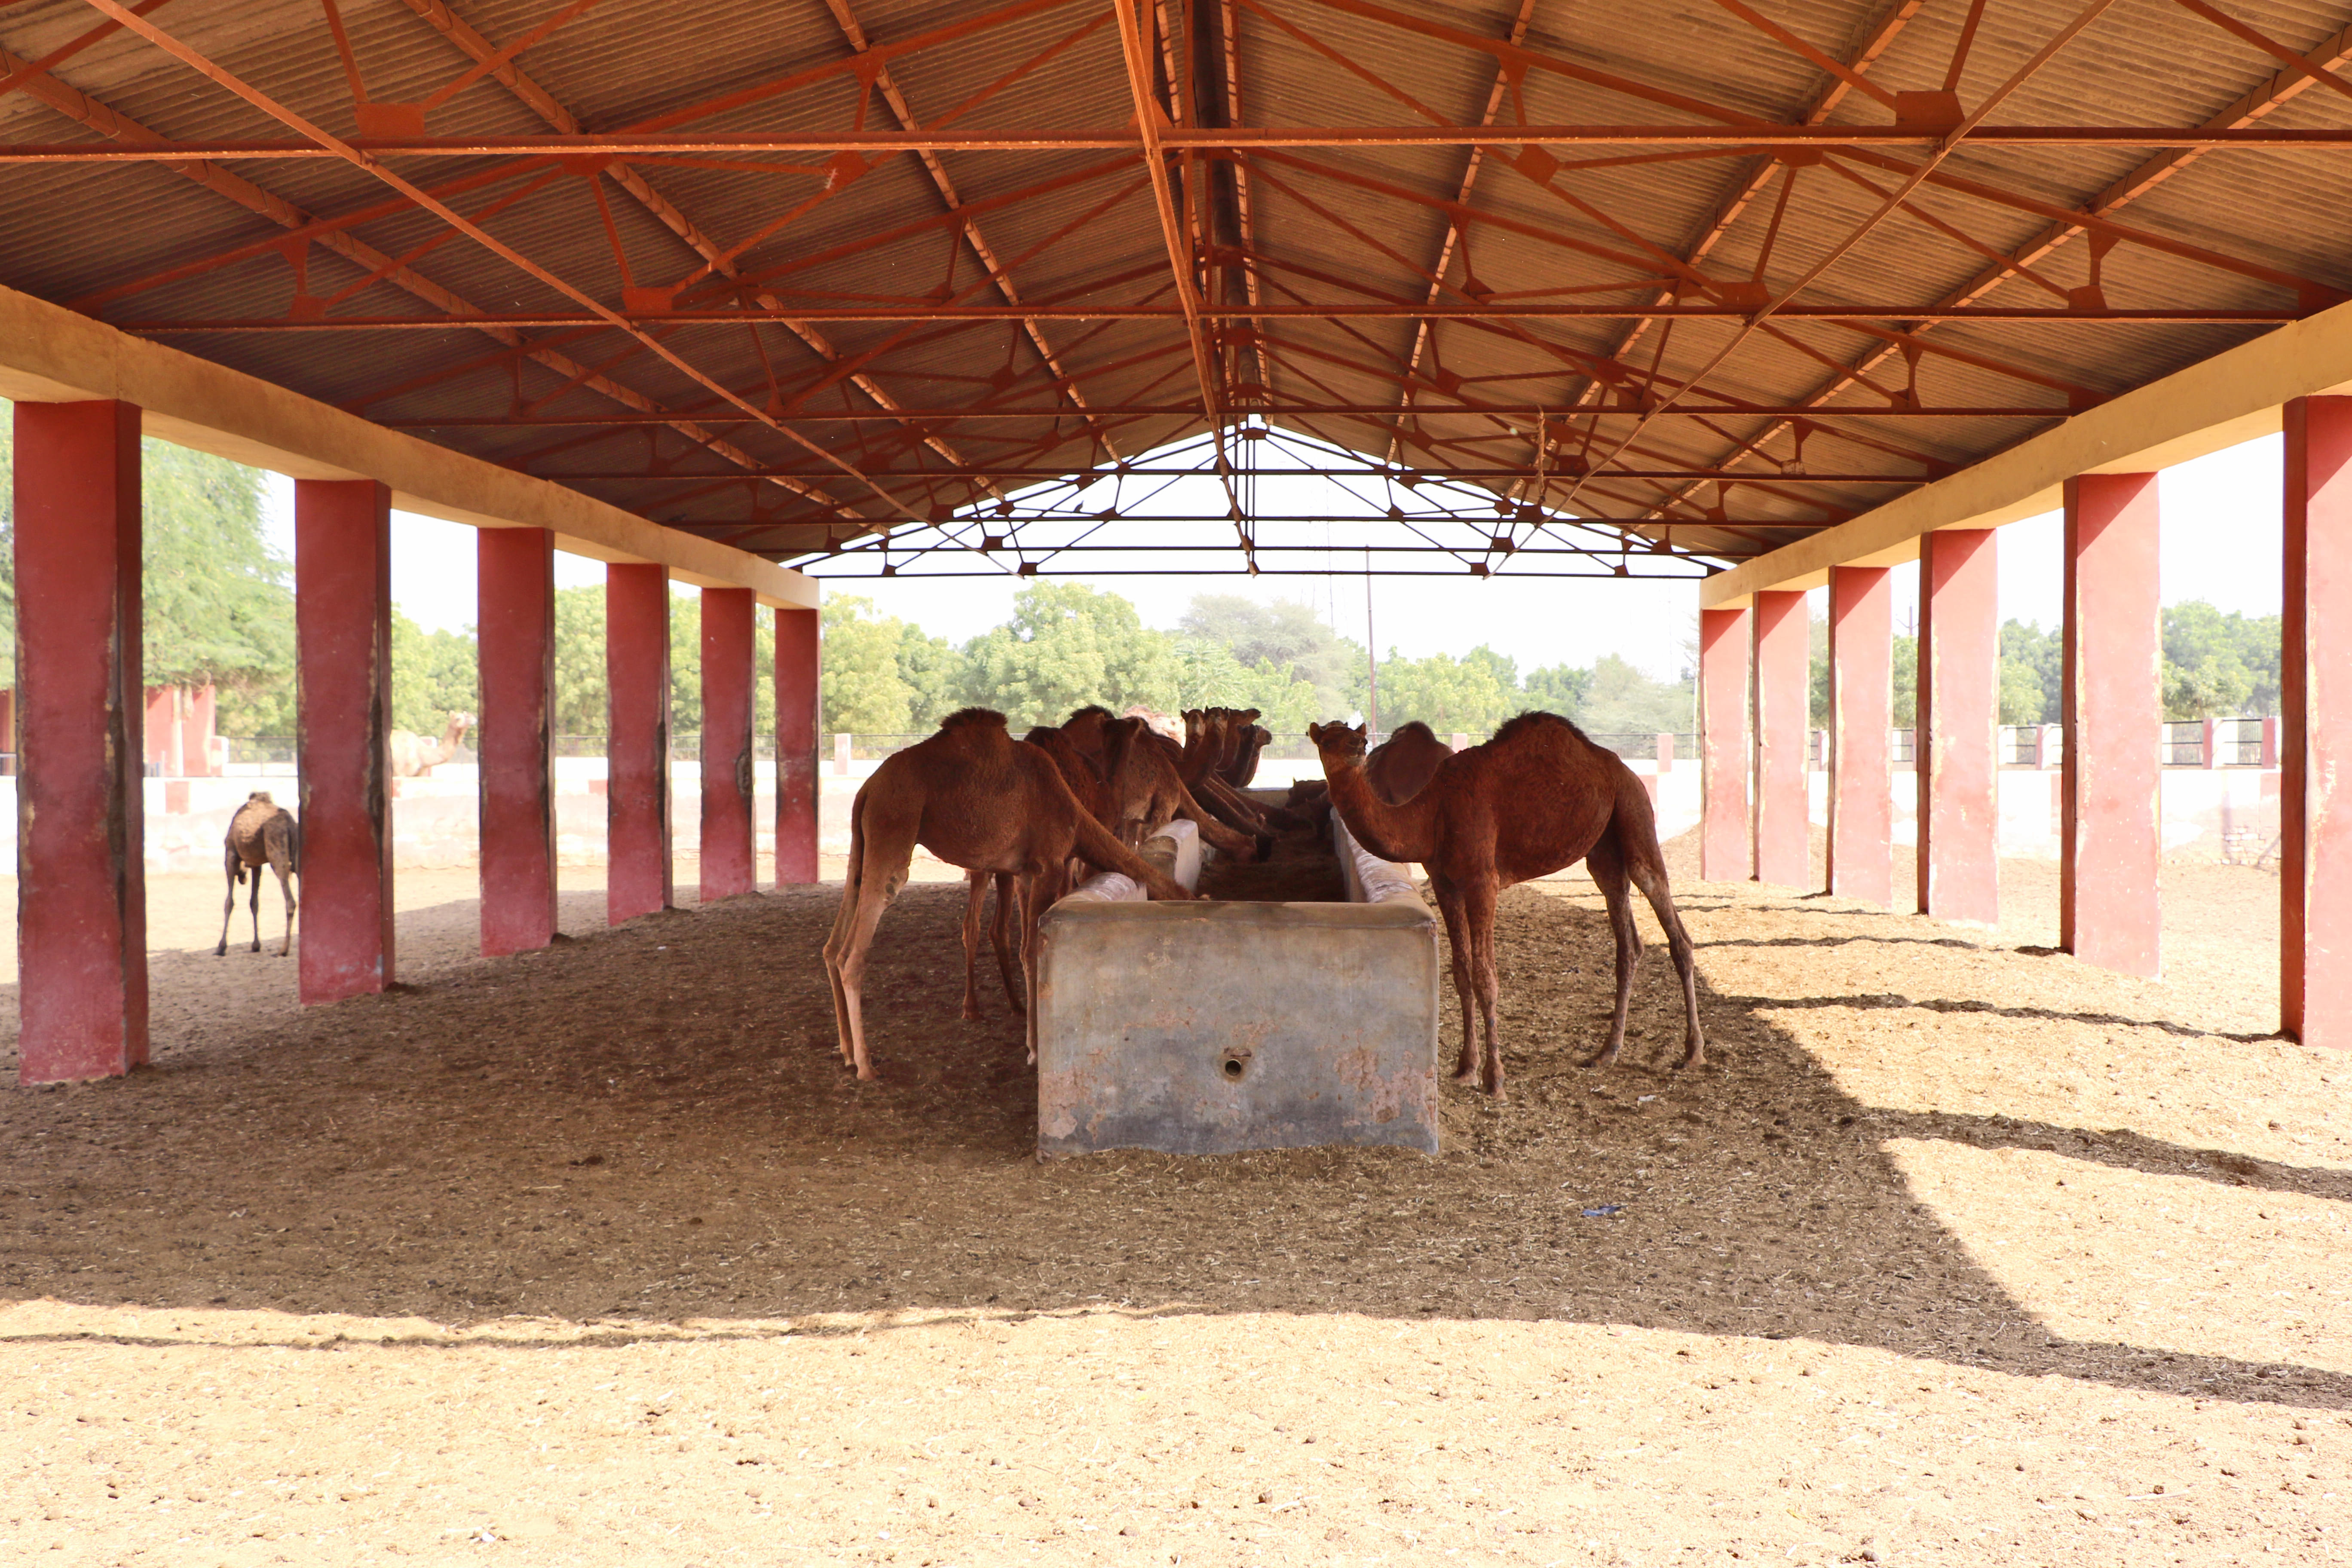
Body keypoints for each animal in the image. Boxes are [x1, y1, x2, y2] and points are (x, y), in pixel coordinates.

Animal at [216, 790, 301, 964]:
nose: (243, 879)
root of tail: (290, 825)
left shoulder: (231, 854)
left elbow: (229, 902)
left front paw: (221, 947)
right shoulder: (257, 864)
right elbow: (254, 903)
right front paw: (256, 946)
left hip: (278, 855)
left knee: (291, 901)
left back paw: (283, 950)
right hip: (297, 857)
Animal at [823, 710, 1194, 1081]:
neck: (1076, 815)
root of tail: (867, 789)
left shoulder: (1024, 872)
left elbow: (1022, 946)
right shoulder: (1048, 865)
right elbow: (1031, 952)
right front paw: (1035, 1049)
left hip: (862, 844)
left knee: (834, 945)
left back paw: (847, 1052)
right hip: (893, 827)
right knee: (853, 955)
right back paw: (866, 1065)